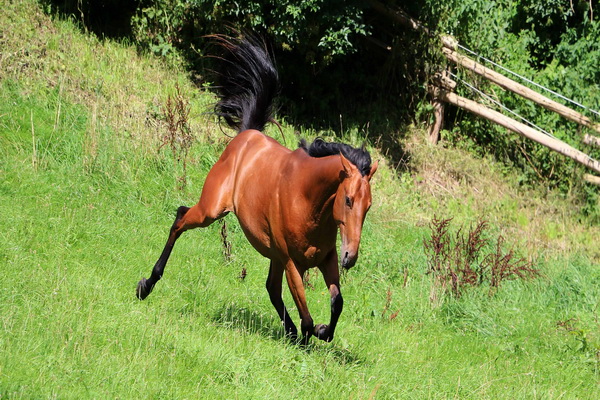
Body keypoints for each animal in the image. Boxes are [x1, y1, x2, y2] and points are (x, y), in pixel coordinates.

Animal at [138, 35, 378, 344]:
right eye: (348, 200)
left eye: (368, 206)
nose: (351, 257)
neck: (308, 202)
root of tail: (246, 135)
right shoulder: (292, 263)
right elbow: (307, 315)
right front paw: (312, 331)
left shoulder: (326, 259)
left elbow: (336, 304)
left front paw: (320, 331)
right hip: (211, 211)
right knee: (180, 219)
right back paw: (146, 285)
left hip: (270, 252)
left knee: (271, 289)